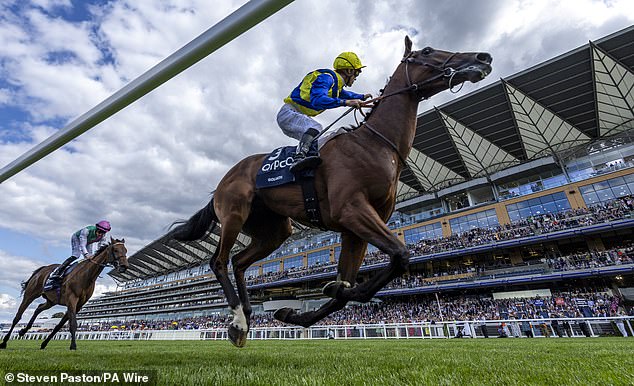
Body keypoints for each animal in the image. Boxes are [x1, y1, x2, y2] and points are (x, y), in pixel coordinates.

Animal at [0, 237, 128, 352]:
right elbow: (73, 324)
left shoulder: (79, 304)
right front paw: (73, 346)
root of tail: (41, 270)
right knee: (17, 317)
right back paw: (4, 342)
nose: (124, 266)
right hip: (30, 295)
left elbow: (59, 326)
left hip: (51, 301)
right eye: (115, 250)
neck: (86, 276)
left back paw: (23, 330)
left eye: (125, 250)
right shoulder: (72, 299)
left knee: (38, 308)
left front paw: (44, 343)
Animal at [170, 37, 492, 348]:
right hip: (234, 213)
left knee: (238, 262)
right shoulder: (351, 210)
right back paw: (237, 321)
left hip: (274, 230)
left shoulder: (355, 229)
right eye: (427, 50)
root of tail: (223, 181)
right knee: (219, 261)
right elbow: (400, 255)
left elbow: (348, 290)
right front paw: (329, 289)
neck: (375, 145)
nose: (483, 58)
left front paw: (296, 311)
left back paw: (246, 317)